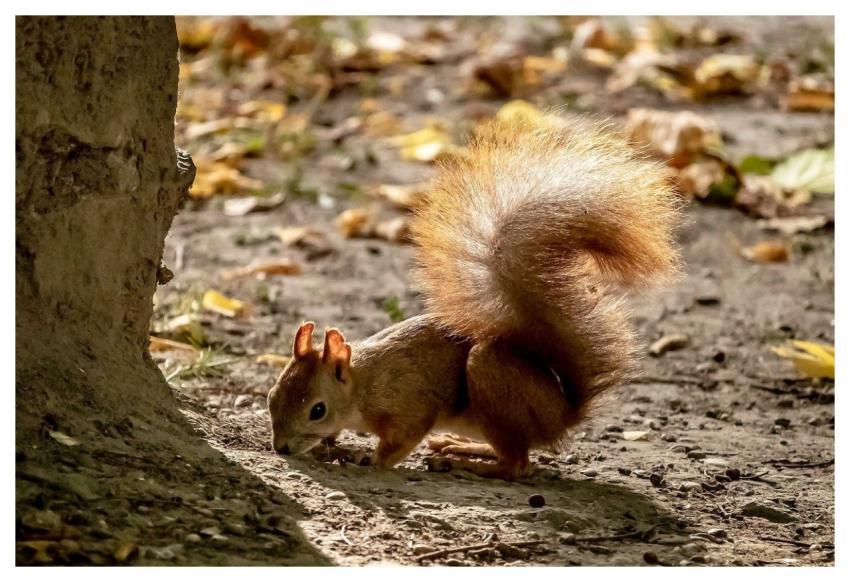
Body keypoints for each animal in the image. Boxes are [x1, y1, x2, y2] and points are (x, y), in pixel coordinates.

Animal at [267, 114, 681, 480]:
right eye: (271, 395)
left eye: (317, 410)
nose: (281, 448)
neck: (363, 384)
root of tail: (562, 415)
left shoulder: (409, 404)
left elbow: (399, 442)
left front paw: (368, 458)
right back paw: (463, 447)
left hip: (493, 383)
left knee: (518, 466)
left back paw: (467, 463)